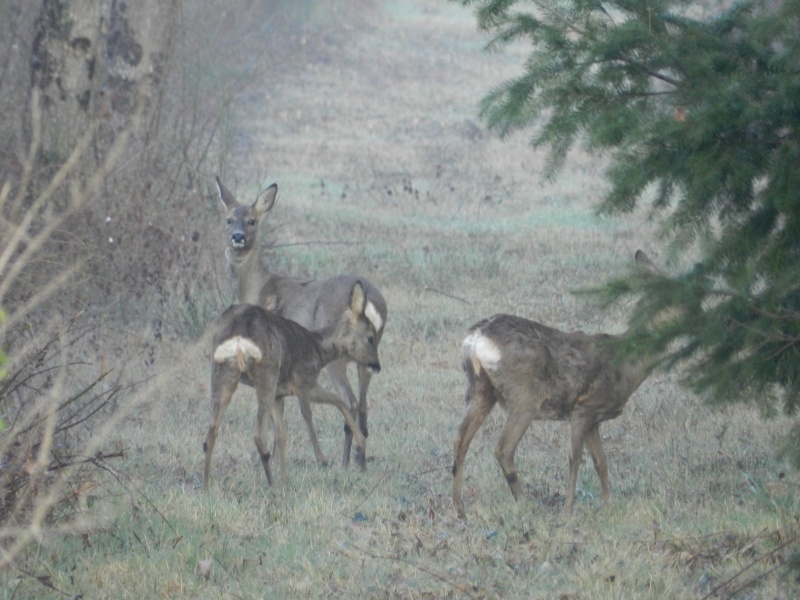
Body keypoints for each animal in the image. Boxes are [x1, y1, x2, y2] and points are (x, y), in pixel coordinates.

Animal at [202, 278, 380, 490]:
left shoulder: (280, 394)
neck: (319, 348)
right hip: (267, 375)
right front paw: (361, 448)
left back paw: (206, 487)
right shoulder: (305, 383)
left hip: (222, 373)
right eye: (370, 337)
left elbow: (282, 435)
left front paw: (285, 480)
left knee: (211, 432)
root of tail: (238, 339)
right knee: (258, 435)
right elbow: (339, 400)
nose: (377, 365)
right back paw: (273, 488)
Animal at [214, 177, 386, 468]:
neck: (259, 287)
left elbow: (299, 408)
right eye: (228, 219)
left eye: (251, 220)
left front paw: (315, 458)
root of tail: (372, 300)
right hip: (366, 355)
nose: (237, 237)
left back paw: (344, 463)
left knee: (350, 401)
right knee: (363, 405)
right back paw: (359, 462)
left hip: (340, 356)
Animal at [454, 248, 664, 516]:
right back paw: (525, 504)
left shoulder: (594, 420)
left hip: (479, 388)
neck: (627, 364)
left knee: (460, 440)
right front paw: (568, 510)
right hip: (524, 397)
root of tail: (474, 338)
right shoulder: (584, 408)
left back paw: (460, 509)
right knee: (503, 449)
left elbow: (601, 462)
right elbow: (575, 459)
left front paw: (608, 505)